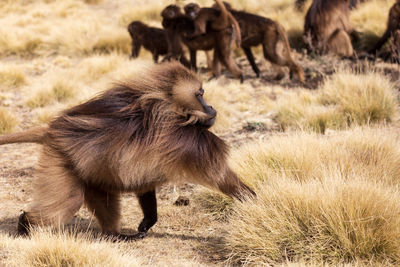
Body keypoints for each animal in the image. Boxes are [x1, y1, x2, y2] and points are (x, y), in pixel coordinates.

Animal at [0, 62, 255, 241]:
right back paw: (26, 224)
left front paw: (148, 221)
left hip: (84, 169)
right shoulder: (191, 140)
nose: (211, 108)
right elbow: (220, 177)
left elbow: (144, 182)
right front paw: (252, 198)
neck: (171, 107)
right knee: (69, 200)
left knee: (100, 194)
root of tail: (52, 129)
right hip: (60, 157)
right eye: (200, 94)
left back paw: (115, 235)